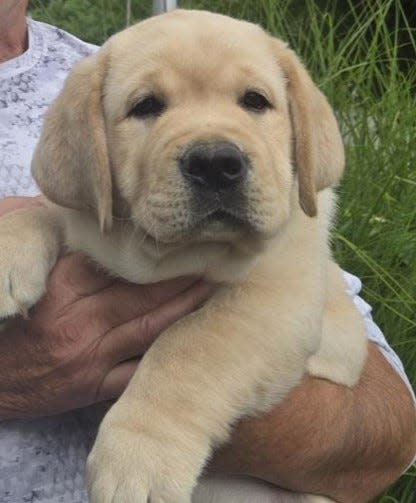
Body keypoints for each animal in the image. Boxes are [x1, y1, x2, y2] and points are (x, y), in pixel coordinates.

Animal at [0, 7, 364, 503]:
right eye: (146, 106)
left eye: (255, 101)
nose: (215, 163)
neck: (175, 257)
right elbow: (46, 209)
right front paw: (8, 249)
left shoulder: (277, 299)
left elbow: (190, 346)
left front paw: (138, 458)